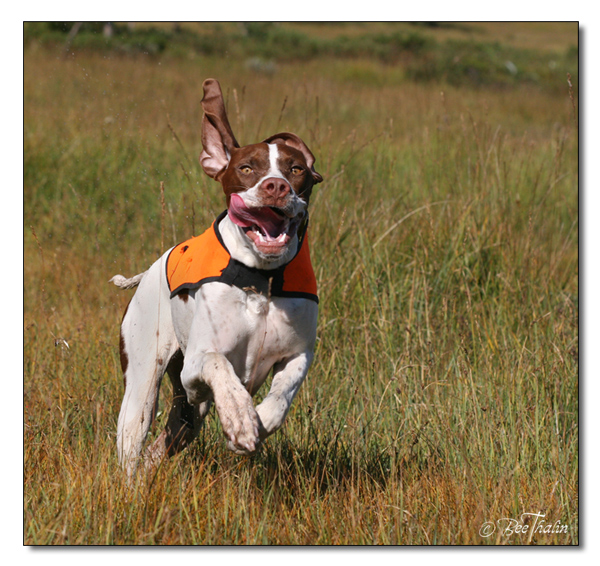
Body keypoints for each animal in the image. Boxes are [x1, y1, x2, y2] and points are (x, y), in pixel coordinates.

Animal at [111, 79, 323, 476]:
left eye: (296, 169)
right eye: (246, 168)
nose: (276, 187)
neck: (260, 280)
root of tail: (148, 271)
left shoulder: (298, 354)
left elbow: (284, 392)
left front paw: (261, 420)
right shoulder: (197, 365)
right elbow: (219, 364)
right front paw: (240, 418)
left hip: (186, 415)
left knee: (167, 439)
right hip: (142, 388)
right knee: (134, 440)